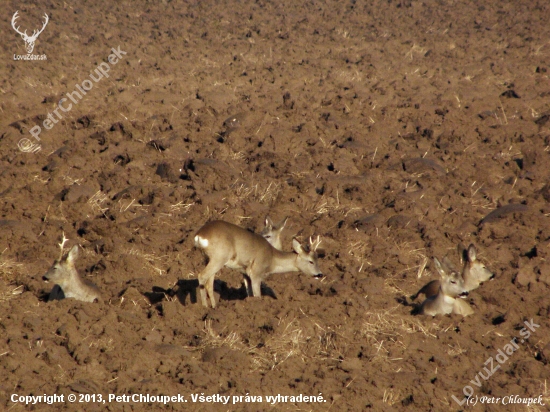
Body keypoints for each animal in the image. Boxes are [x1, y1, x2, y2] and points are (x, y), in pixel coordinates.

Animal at [194, 220, 324, 308]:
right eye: (311, 261)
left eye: (317, 259)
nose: (319, 274)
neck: (272, 259)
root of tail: (199, 235)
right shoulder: (256, 272)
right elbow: (257, 295)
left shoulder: (245, 273)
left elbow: (249, 293)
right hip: (219, 257)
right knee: (202, 276)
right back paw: (204, 307)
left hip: (209, 258)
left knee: (209, 283)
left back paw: (214, 307)